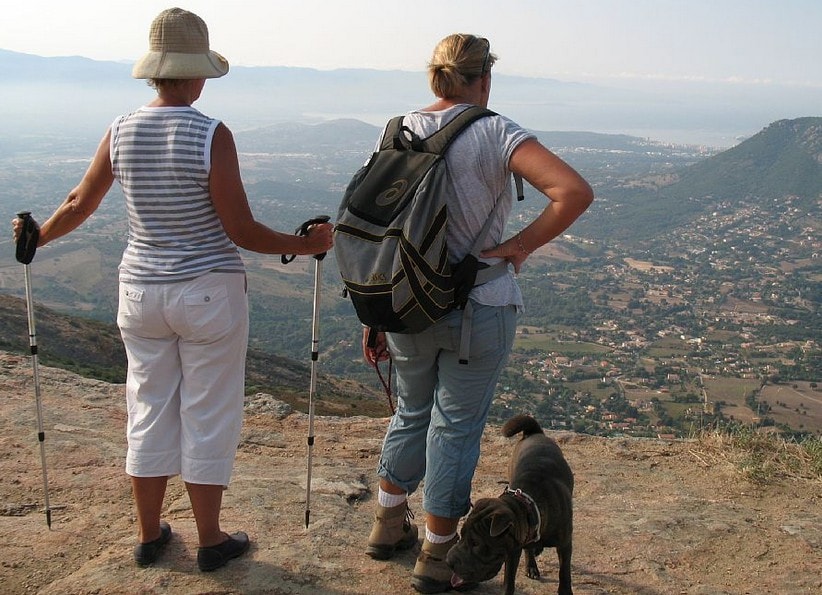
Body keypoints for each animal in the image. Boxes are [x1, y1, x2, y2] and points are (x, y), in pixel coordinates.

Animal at [448, 416, 576, 595]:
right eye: (461, 534)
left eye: (476, 543)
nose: (448, 561)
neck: (530, 505)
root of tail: (533, 432)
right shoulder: (513, 550)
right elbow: (509, 579)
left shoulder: (565, 544)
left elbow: (564, 571)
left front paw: (565, 590)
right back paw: (531, 565)